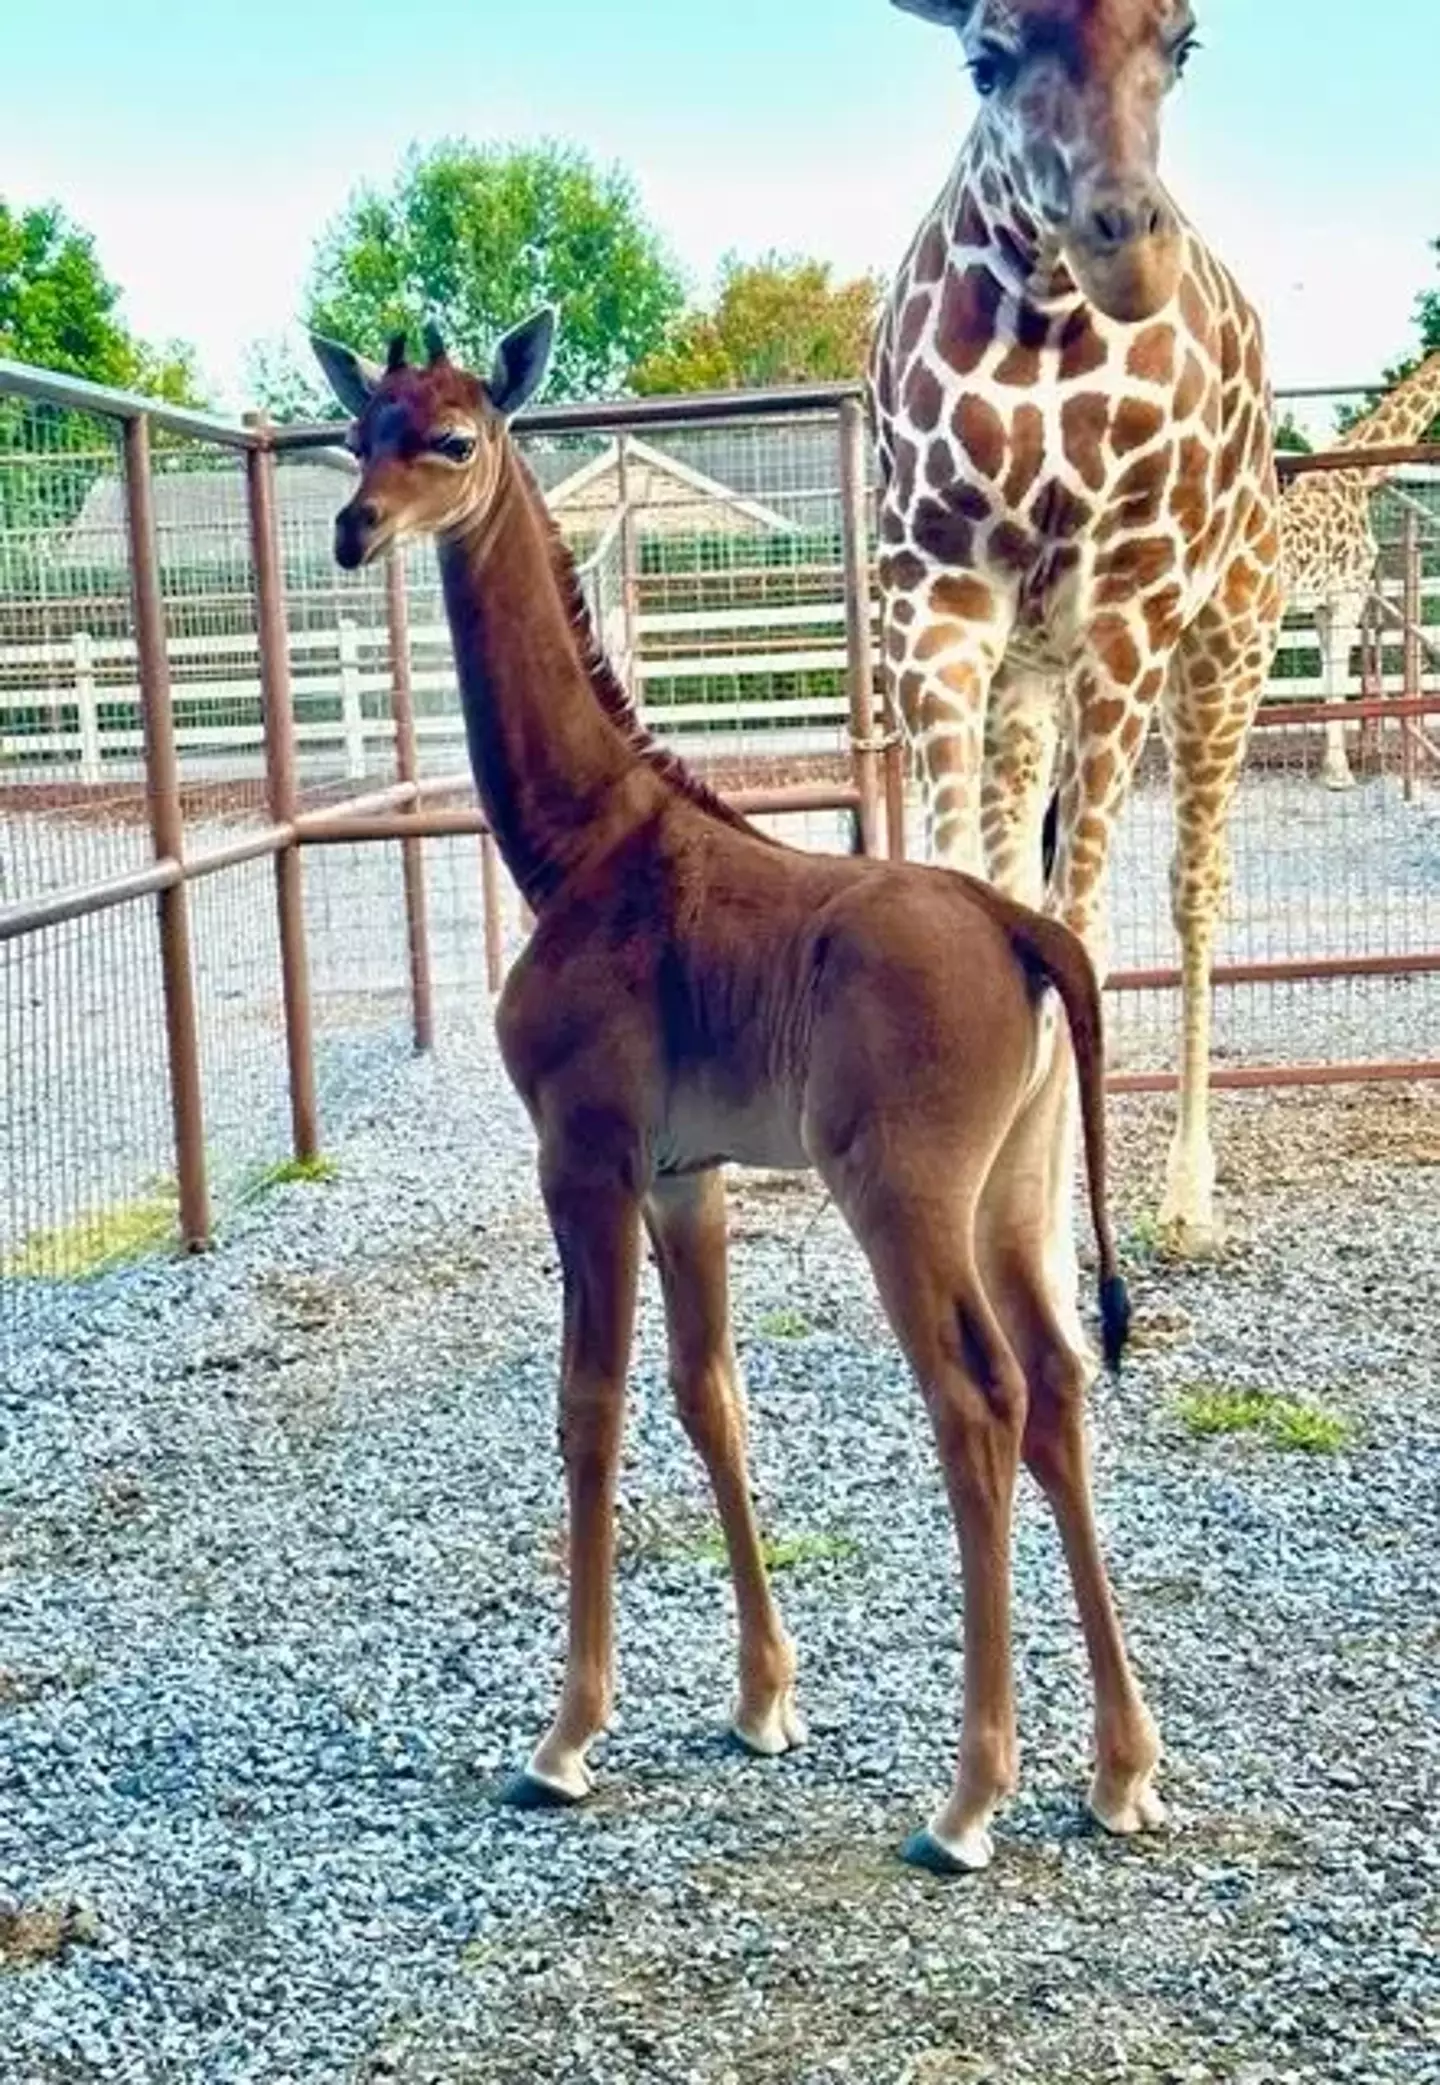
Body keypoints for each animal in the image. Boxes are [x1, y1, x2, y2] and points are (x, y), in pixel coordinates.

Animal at [310, 316, 1167, 1884]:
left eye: (454, 437)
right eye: (361, 431)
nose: (355, 528)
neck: (580, 843)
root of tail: (1026, 929)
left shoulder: (582, 1155)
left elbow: (589, 1402)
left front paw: (566, 1738)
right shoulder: (682, 1172)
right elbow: (712, 1393)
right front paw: (765, 1701)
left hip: (905, 1196)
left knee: (981, 1399)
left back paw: (967, 1804)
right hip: (1016, 1192)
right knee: (1064, 1385)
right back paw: (1120, 1771)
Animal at [866, 0, 1283, 1267]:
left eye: (1184, 45)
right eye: (984, 61)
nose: (1125, 245)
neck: (1045, 324)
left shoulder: (1128, 608)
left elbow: (1081, 927)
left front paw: (1046, 1244)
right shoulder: (936, 600)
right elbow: (977, 897)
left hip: (1227, 643)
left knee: (1196, 886)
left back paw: (1188, 1196)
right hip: (1028, 678)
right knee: (1021, 870)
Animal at [1283, 350, 1440, 788]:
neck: (1358, 473)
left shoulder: (1323, 603)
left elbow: (1328, 672)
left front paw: (1331, 767)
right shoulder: (1348, 592)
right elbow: (1338, 674)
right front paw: (1338, 773)